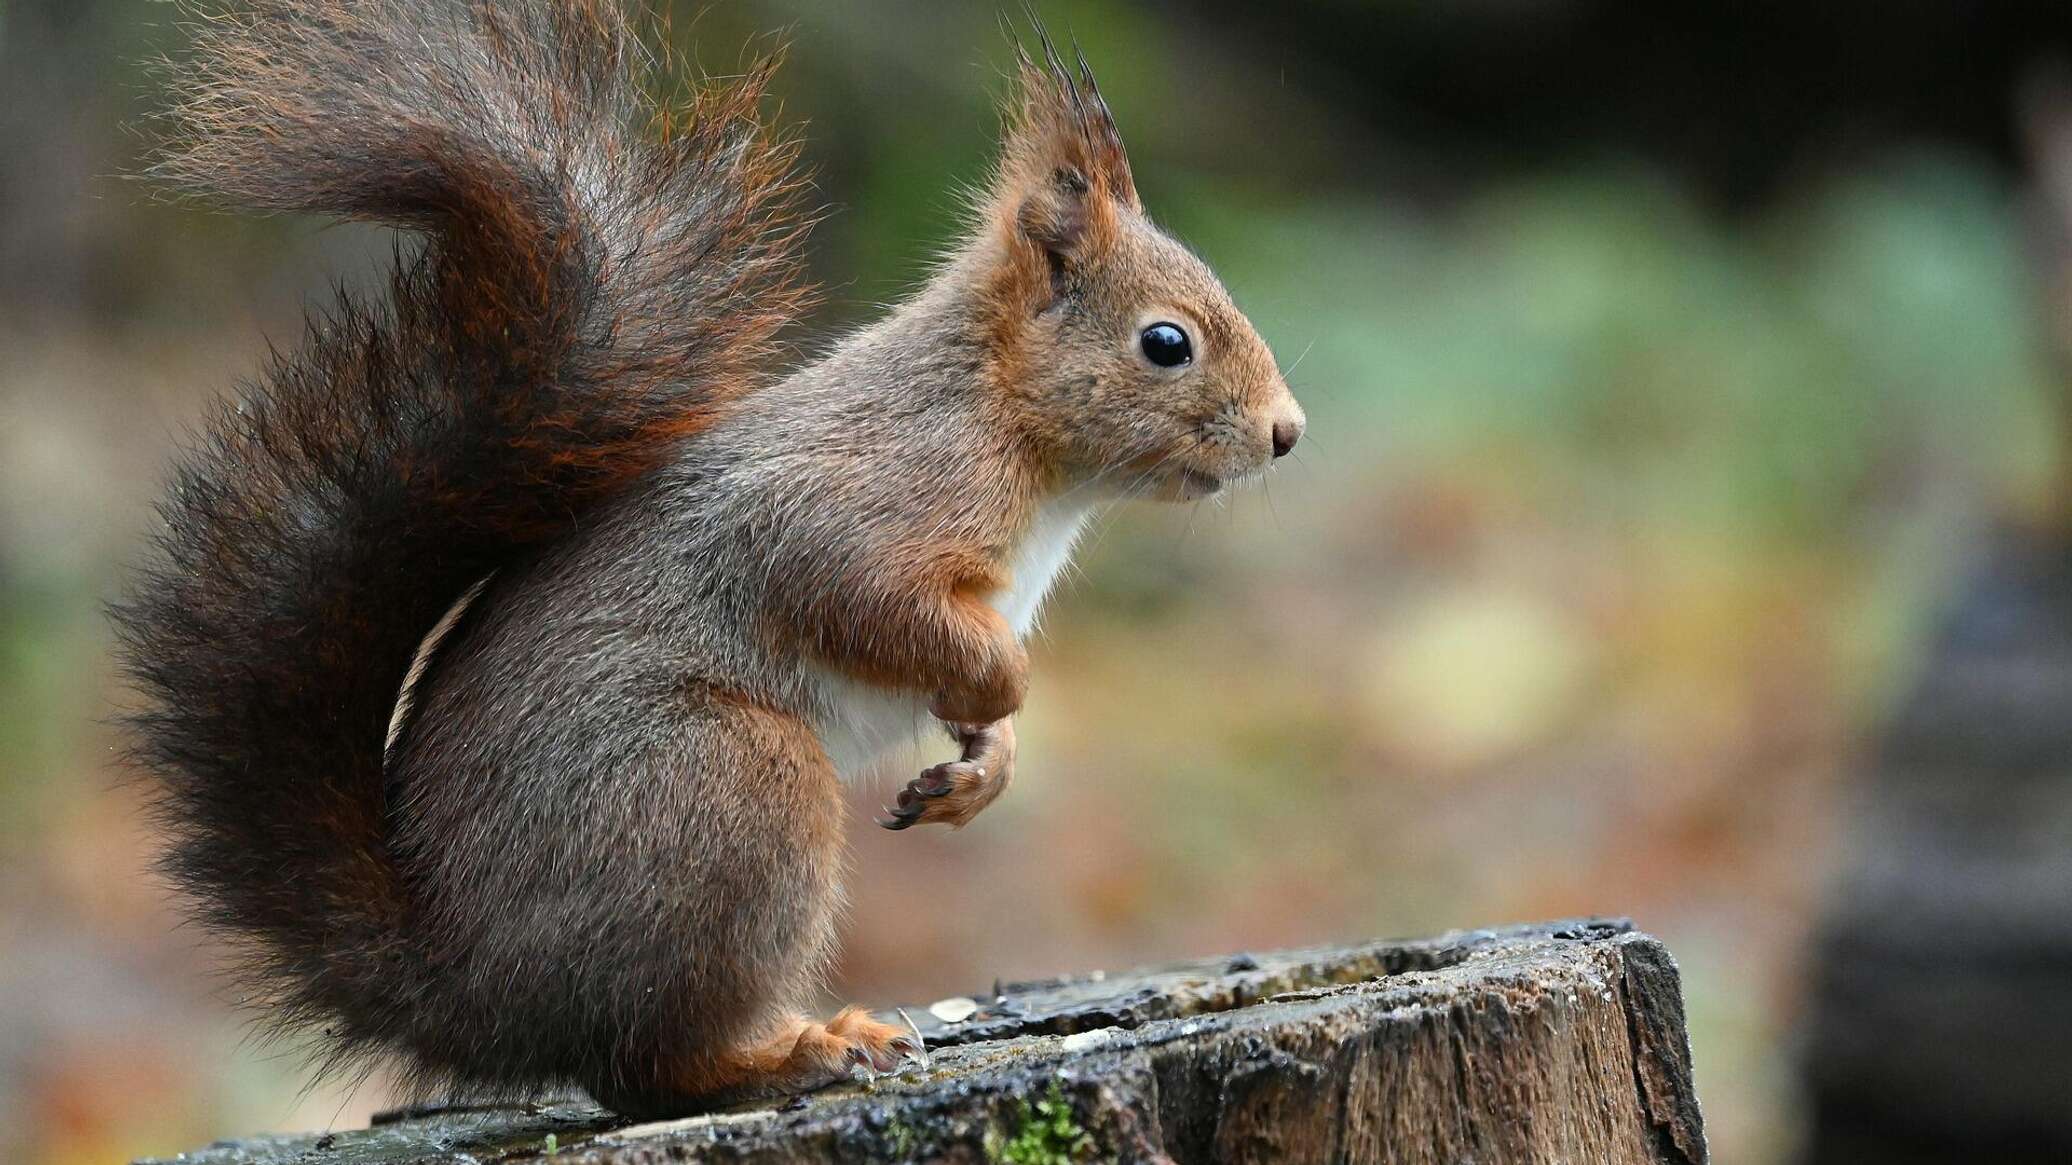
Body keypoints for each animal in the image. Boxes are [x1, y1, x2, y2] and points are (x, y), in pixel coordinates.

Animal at [113, 0, 1301, 1111]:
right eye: (1165, 342)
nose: (1286, 433)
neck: (1007, 422)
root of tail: (469, 986)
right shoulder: (858, 504)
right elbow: (859, 593)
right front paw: (1002, 689)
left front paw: (979, 768)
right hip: (727, 786)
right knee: (653, 1064)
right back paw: (804, 1050)